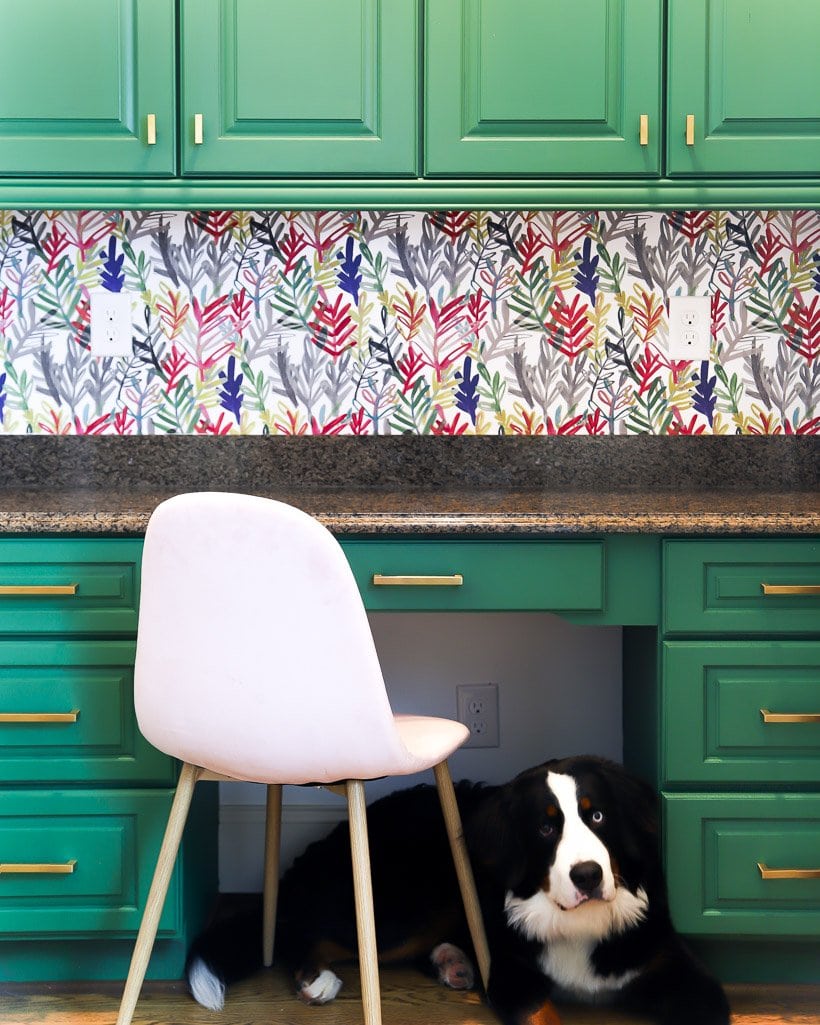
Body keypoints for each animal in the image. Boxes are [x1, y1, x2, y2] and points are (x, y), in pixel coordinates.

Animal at [182, 754, 725, 1025]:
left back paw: (454, 963)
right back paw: (316, 980)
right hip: (405, 906)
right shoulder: (513, 977)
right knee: (305, 934)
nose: (588, 875)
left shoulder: (683, 974)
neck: (574, 924)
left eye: (597, 817)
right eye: (545, 828)